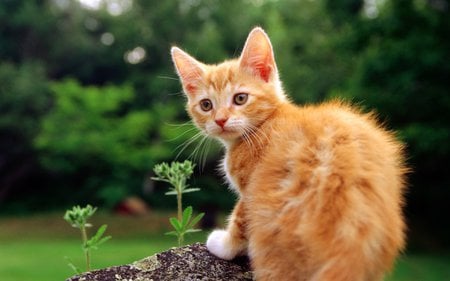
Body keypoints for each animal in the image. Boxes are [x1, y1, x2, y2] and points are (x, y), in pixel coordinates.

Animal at [170, 26, 408, 280]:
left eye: (240, 98)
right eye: (206, 105)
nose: (221, 120)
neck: (264, 124)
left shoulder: (250, 189)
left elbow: (241, 217)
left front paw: (224, 246)